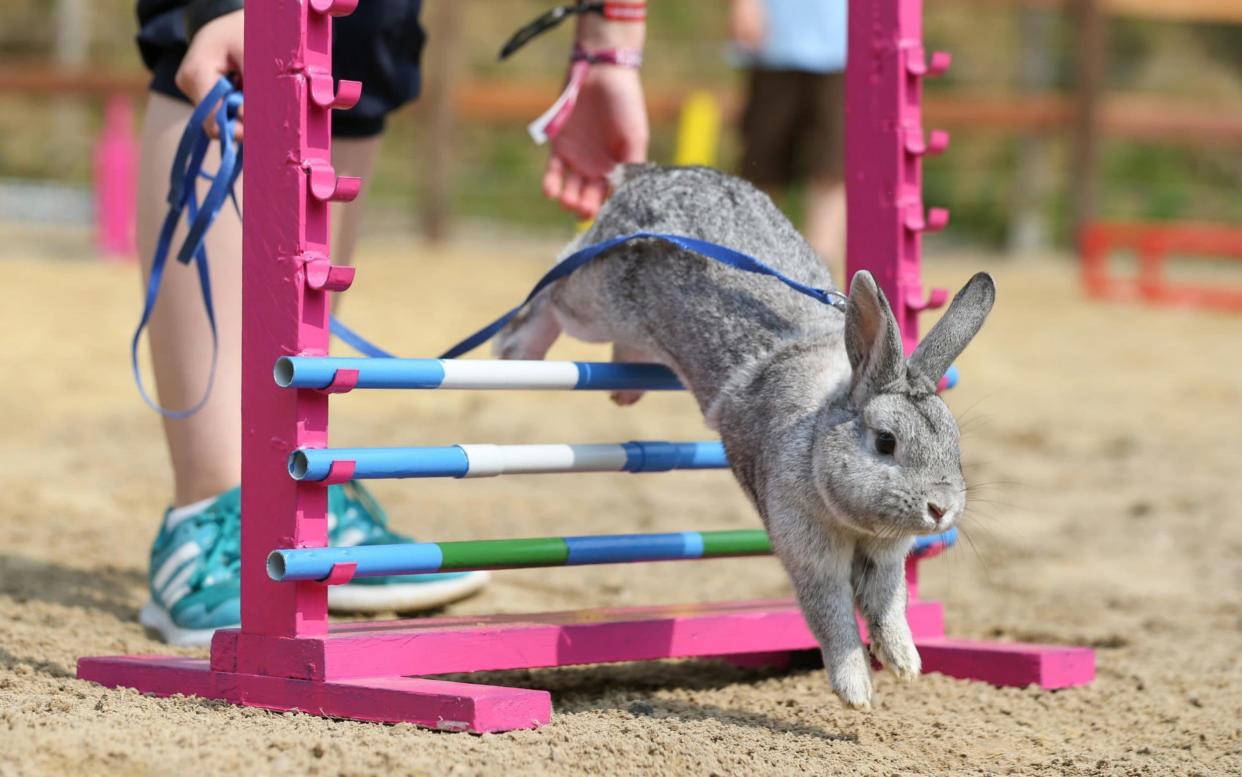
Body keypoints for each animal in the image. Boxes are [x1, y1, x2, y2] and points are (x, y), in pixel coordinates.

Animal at [489, 165, 993, 709]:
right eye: (885, 441)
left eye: (954, 444)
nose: (941, 509)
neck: (816, 440)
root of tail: (652, 175)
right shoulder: (809, 554)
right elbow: (834, 620)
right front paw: (856, 692)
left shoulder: (885, 561)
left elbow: (889, 605)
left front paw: (905, 663)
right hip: (595, 300)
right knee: (554, 283)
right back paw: (516, 350)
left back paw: (623, 390)